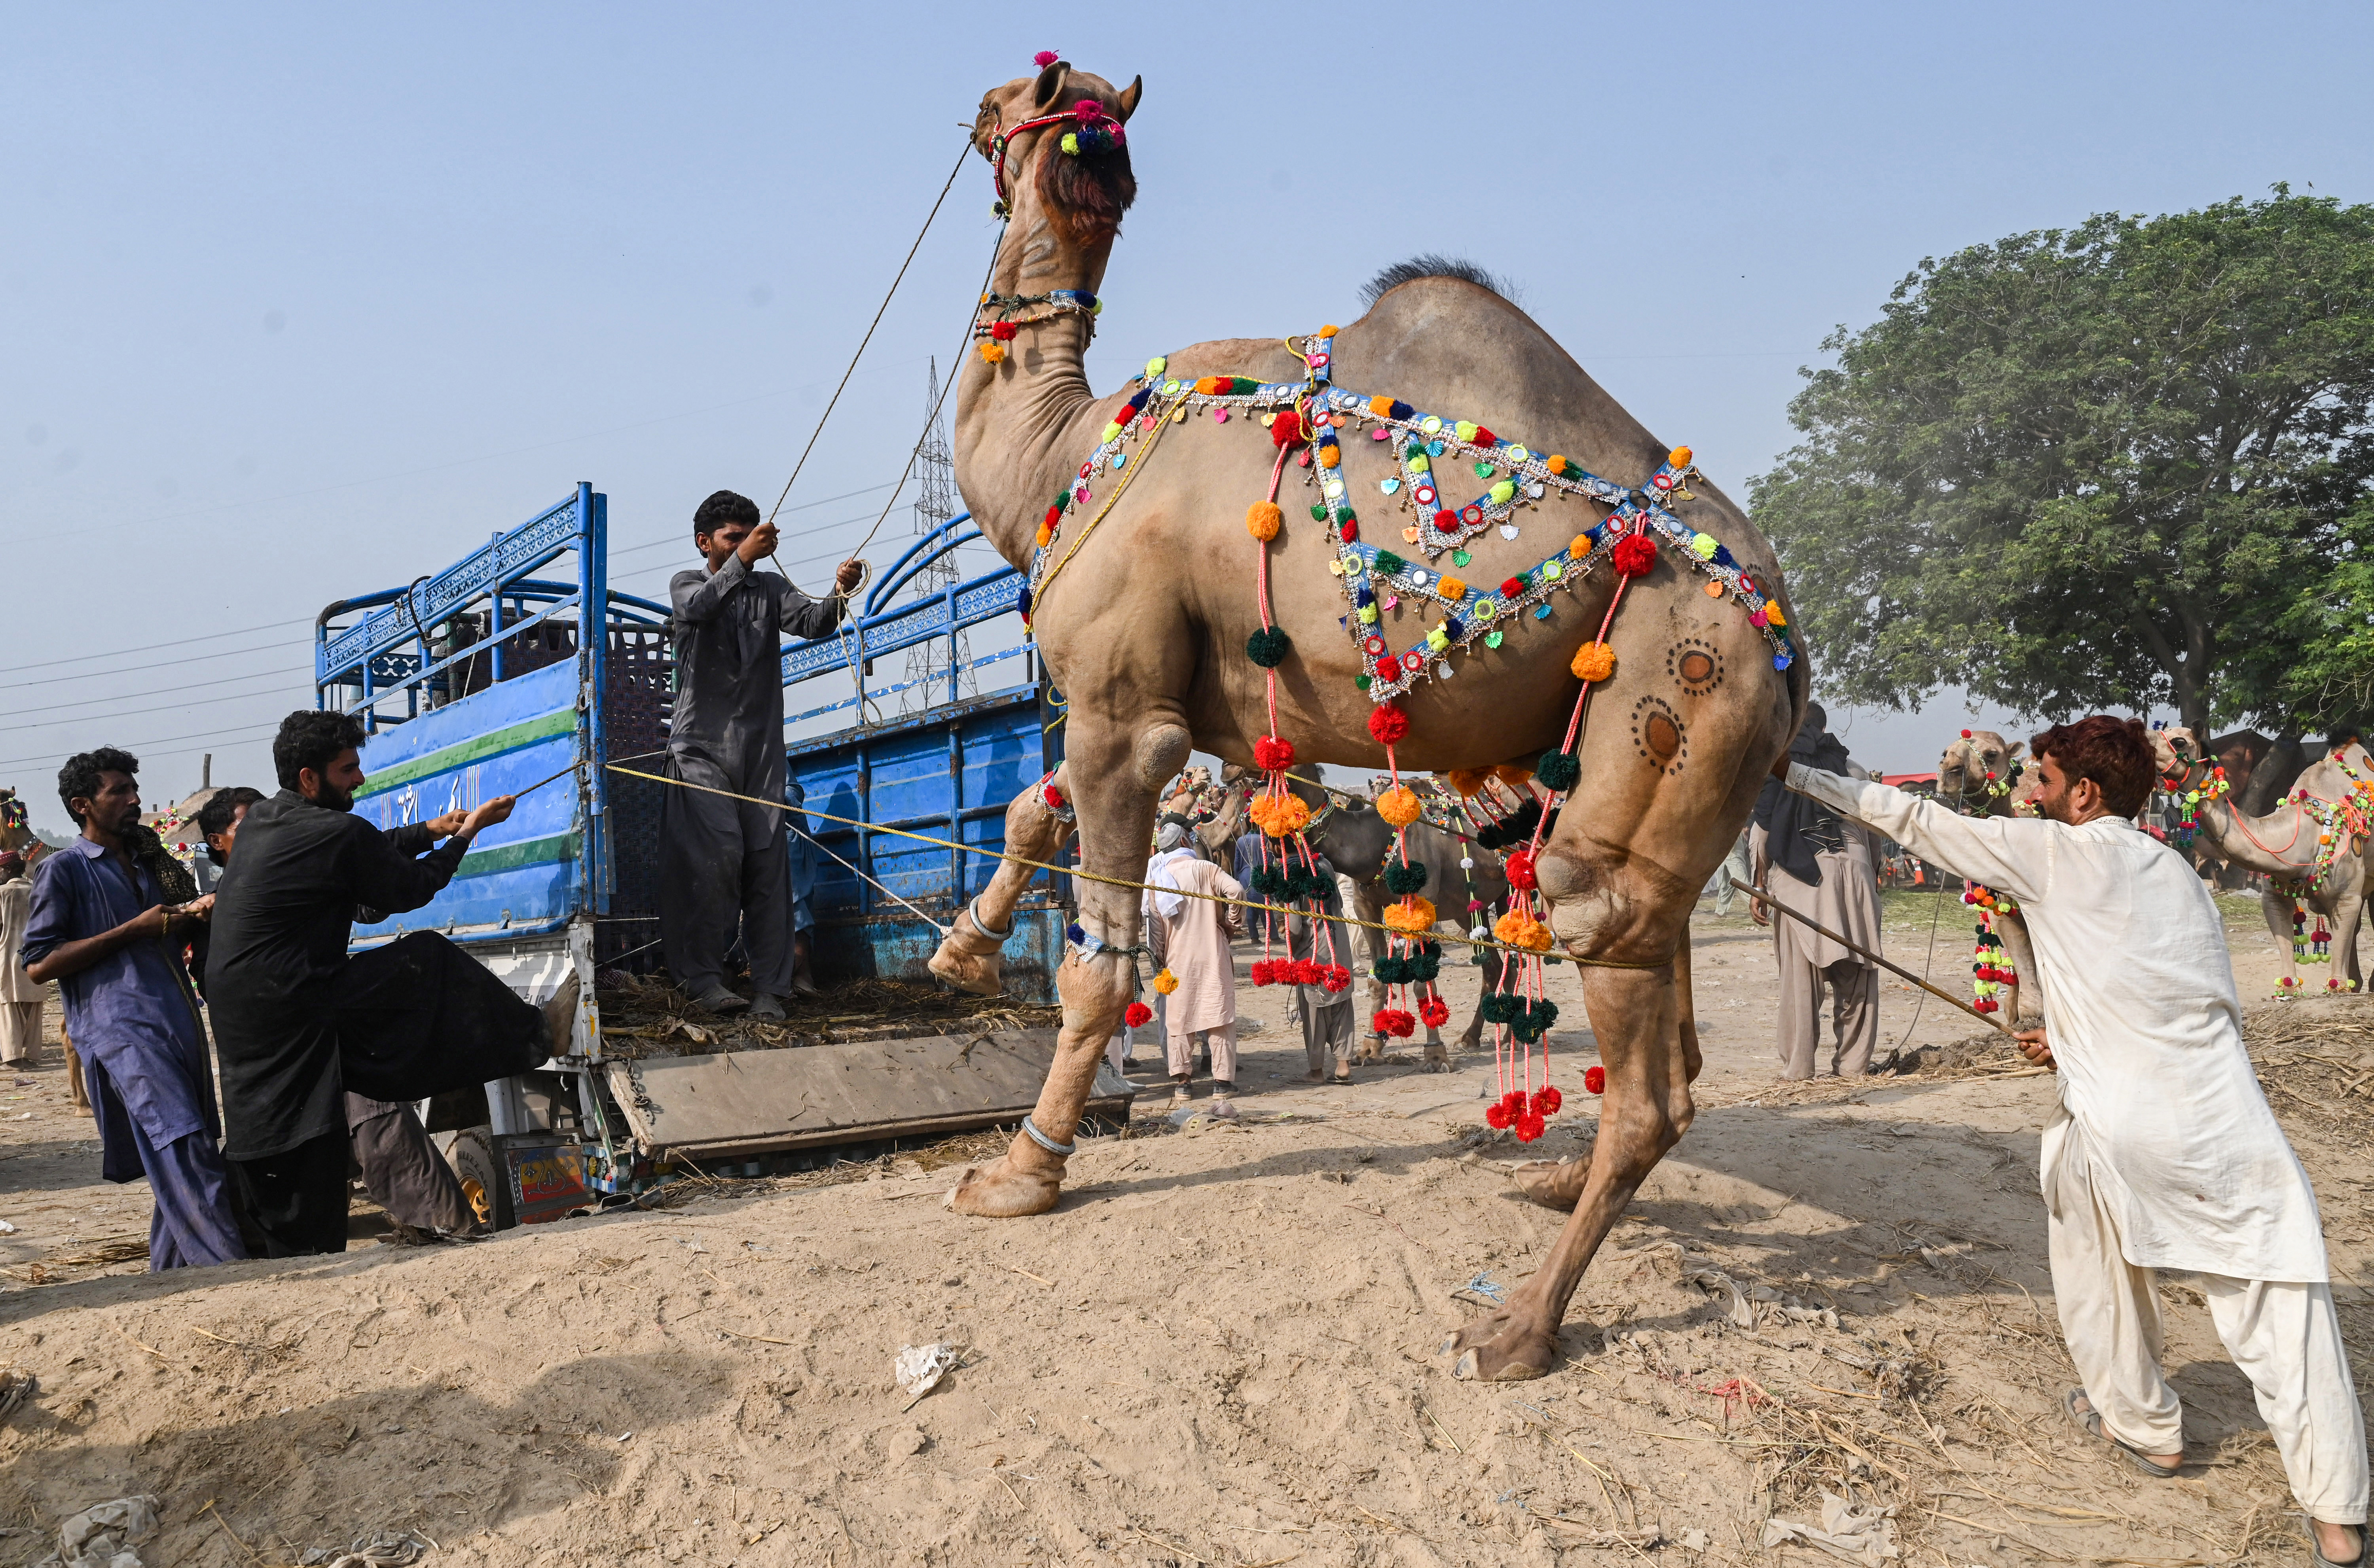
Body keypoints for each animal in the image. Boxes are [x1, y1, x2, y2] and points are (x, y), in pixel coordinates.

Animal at [923, 58, 1800, 1381]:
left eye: (1007, 104)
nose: (969, 115)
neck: (1059, 455)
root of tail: (1791, 635)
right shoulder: (1164, 701)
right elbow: (1035, 809)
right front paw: (959, 952)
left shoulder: (1122, 702)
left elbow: (1098, 959)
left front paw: (1020, 1171)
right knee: (1669, 1019)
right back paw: (1551, 1181)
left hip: (1684, 686)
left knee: (1628, 1010)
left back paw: (1516, 1329)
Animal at [2161, 728, 2374, 994]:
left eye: (2180, 741)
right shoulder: (2274, 892)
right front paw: (2290, 989)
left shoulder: (2347, 892)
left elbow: (2347, 924)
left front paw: (2338, 986)